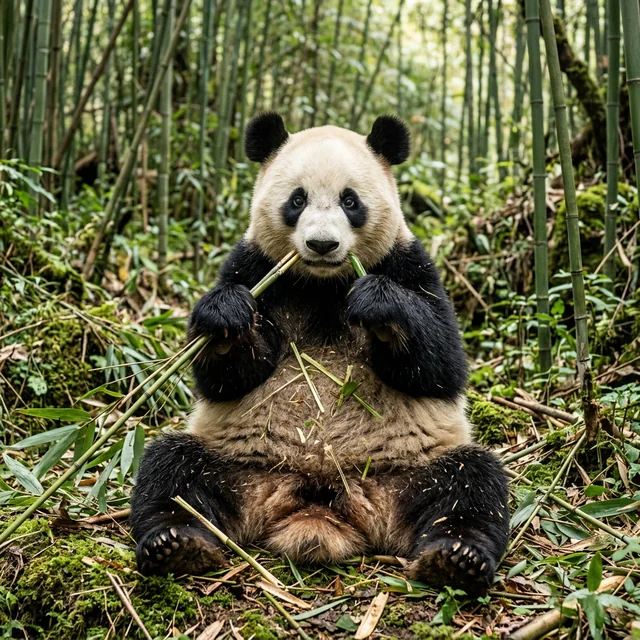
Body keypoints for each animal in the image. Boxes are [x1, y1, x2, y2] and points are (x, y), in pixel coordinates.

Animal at [130, 113, 509, 594]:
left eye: (350, 201)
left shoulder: (409, 262)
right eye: (297, 199)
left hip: (407, 470)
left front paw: (378, 303)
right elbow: (226, 376)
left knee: (472, 483)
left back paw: (456, 558)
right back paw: (176, 544)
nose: (322, 245)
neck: (324, 284)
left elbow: (443, 364)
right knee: (172, 471)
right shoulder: (254, 266)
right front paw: (226, 316)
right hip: (240, 465)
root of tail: (318, 498)